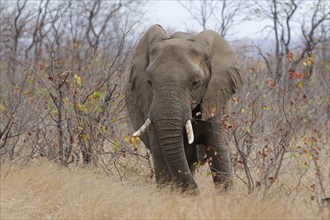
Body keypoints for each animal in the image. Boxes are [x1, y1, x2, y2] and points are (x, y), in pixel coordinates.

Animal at [125, 24, 241, 192]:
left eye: (196, 82)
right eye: (149, 82)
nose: (197, 193)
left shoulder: (214, 102)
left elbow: (219, 149)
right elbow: (160, 152)